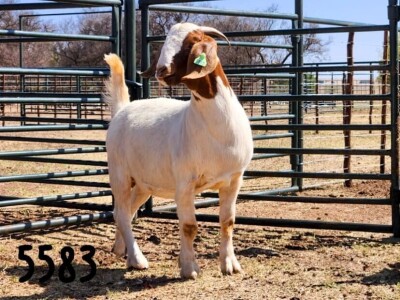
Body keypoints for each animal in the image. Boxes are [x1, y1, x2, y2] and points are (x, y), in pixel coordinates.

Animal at [104, 22, 253, 280]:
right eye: (165, 42)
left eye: (190, 42)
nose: (161, 70)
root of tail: (123, 109)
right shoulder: (184, 183)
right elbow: (189, 226)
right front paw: (189, 268)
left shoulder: (234, 179)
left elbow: (228, 221)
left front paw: (230, 264)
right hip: (119, 173)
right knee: (122, 212)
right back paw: (137, 259)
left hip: (143, 183)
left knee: (125, 211)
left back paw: (121, 249)